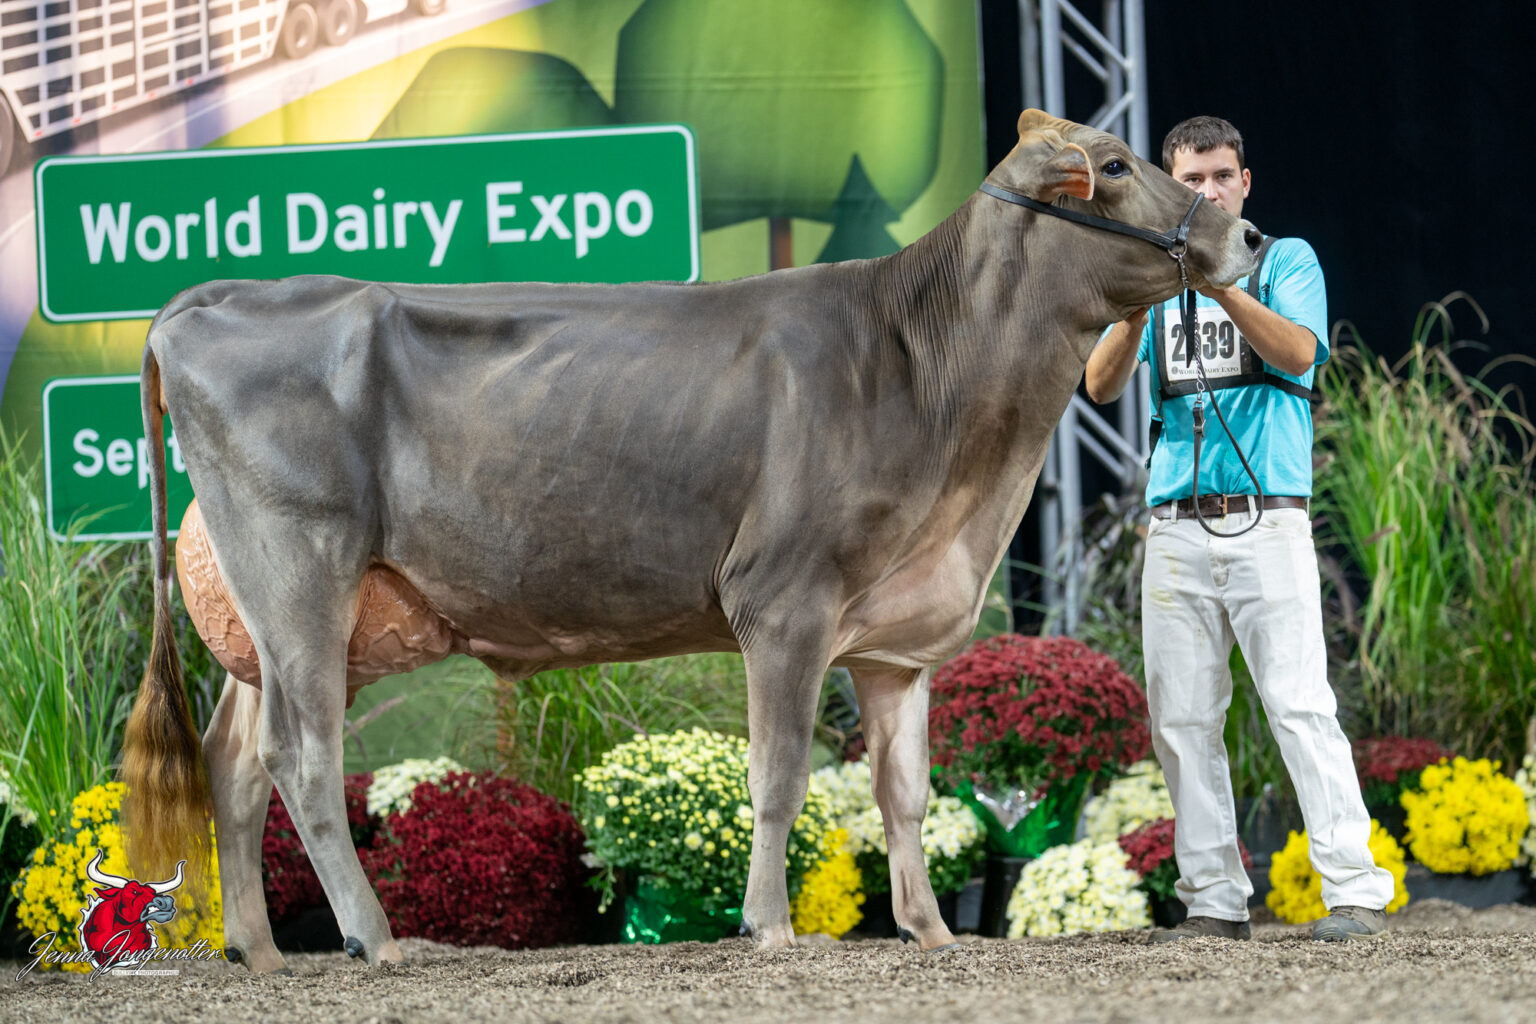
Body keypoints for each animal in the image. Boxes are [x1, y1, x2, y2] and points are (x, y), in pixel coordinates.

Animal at [121, 110, 1260, 973]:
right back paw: (375, 938)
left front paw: (931, 930)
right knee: (302, 755)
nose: (1247, 237)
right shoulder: (784, 602)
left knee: (234, 760)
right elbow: (781, 775)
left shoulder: (897, 641)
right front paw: (772, 927)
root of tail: (216, 297)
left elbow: (904, 791)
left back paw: (262, 951)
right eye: (1115, 166)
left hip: (268, 617)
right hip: (302, 571)